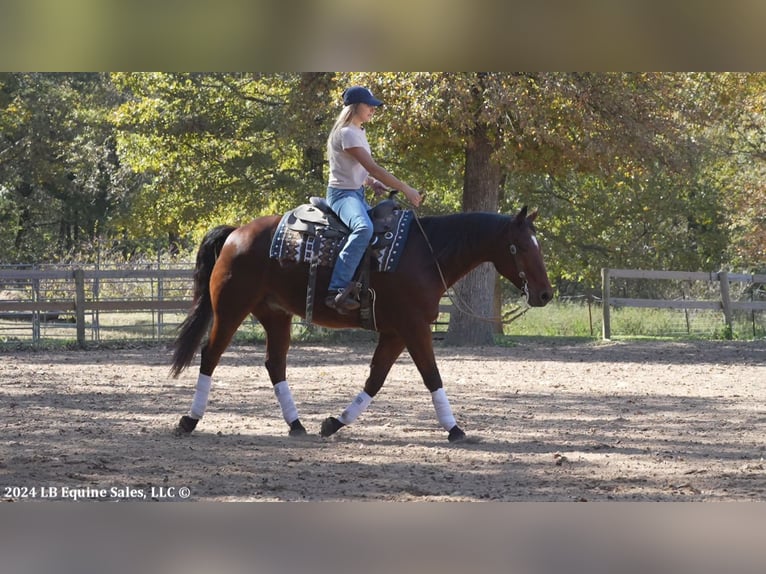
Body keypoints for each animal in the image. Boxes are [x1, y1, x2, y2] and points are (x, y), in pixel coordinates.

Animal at [170, 205, 552, 444]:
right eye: (519, 247)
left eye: (538, 245)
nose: (545, 294)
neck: (427, 256)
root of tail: (237, 232)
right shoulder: (413, 327)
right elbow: (431, 375)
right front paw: (455, 429)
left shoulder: (396, 332)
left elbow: (376, 379)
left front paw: (334, 423)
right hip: (231, 308)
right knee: (210, 355)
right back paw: (189, 420)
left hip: (275, 315)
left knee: (274, 364)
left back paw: (297, 424)